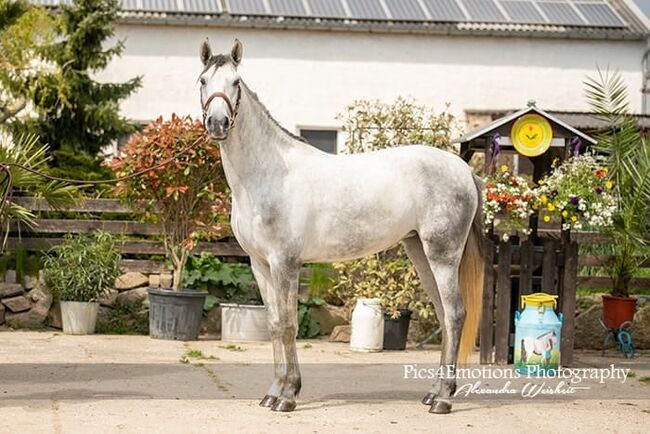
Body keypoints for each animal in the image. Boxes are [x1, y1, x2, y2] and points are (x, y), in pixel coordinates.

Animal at [200, 38, 484, 414]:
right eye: (203, 80)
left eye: (235, 83)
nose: (217, 123)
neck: (268, 173)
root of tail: (464, 170)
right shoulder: (260, 264)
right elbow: (274, 324)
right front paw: (273, 392)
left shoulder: (285, 262)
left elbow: (288, 325)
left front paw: (288, 396)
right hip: (420, 252)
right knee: (443, 315)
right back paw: (434, 392)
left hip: (443, 255)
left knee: (454, 314)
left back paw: (443, 399)